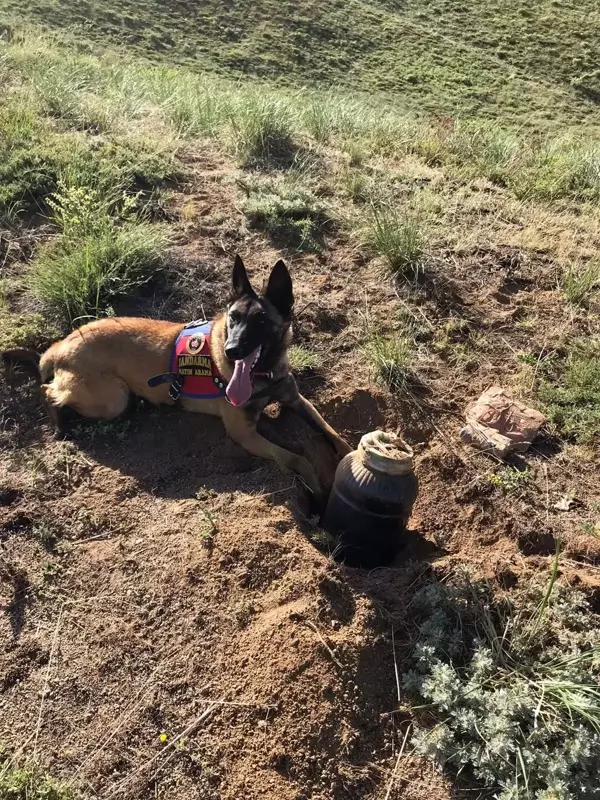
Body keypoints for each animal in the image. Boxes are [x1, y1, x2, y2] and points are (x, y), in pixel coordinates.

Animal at [3, 255, 352, 500]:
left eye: (262, 321)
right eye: (233, 318)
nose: (231, 351)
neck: (264, 374)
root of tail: (60, 346)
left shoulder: (297, 400)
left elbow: (332, 433)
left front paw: (348, 454)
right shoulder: (244, 434)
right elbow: (296, 458)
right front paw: (318, 488)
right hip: (113, 398)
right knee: (47, 391)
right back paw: (60, 424)